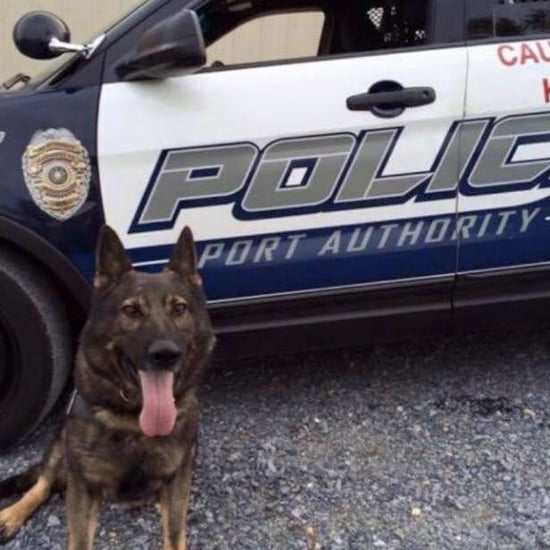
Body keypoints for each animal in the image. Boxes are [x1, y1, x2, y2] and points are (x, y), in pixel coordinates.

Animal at [0, 225, 217, 550]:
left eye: (179, 308)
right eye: (131, 310)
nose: (166, 354)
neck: (134, 421)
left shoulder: (178, 481)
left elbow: (175, 534)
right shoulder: (82, 487)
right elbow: (77, 537)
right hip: (61, 446)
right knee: (43, 483)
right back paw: (12, 515)